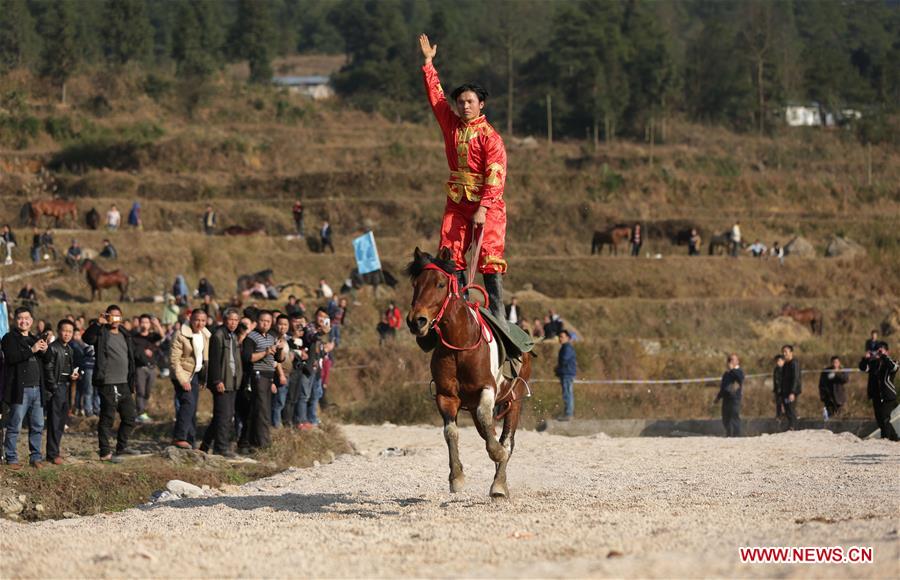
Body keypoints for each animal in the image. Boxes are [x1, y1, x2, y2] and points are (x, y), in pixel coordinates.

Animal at [404, 247, 532, 496]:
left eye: (440, 284)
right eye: (415, 284)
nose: (417, 321)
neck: (460, 342)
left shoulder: (487, 388)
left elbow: (487, 421)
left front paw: (497, 454)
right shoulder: (446, 395)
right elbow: (451, 432)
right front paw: (457, 477)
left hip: (515, 399)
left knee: (507, 439)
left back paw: (499, 483)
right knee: (489, 431)